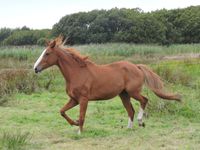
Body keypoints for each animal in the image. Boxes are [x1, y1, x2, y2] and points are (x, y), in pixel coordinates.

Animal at [33, 37, 181, 134]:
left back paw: (140, 122)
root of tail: (137, 66)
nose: (35, 68)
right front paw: (74, 123)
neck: (76, 72)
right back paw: (129, 128)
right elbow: (62, 111)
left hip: (133, 92)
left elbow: (82, 116)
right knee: (130, 110)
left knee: (144, 100)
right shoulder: (74, 99)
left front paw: (79, 132)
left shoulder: (83, 99)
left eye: (47, 53)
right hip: (124, 95)